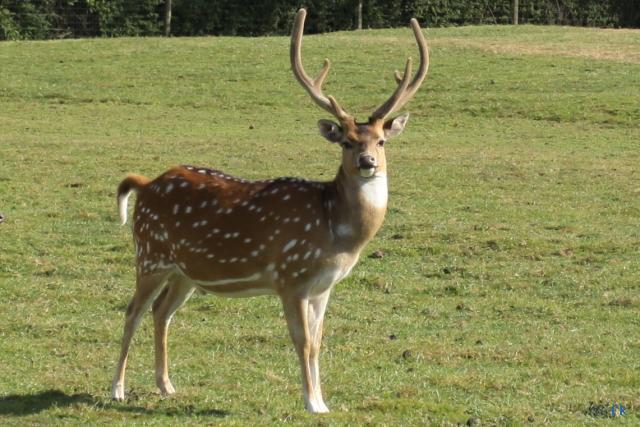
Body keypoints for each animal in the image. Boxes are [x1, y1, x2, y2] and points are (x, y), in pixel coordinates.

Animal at [111, 8, 428, 413]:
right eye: (346, 141)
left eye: (382, 140)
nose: (367, 162)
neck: (337, 232)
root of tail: (146, 183)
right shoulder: (290, 277)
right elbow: (303, 342)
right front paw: (311, 404)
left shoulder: (323, 287)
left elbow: (319, 343)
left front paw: (322, 401)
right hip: (150, 253)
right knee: (133, 310)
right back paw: (117, 389)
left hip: (184, 272)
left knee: (161, 311)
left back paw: (166, 385)